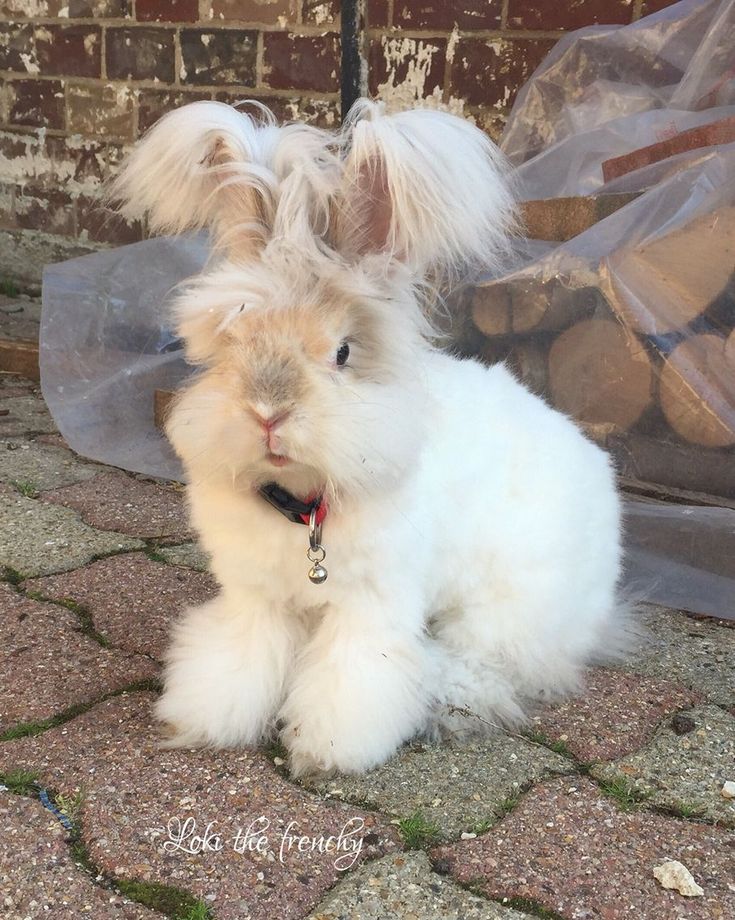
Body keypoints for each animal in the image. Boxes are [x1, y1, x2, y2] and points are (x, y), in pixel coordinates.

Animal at [111, 99, 625, 777]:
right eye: (231, 342)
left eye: (343, 352)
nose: (268, 412)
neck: (305, 507)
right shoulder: (256, 598)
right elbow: (241, 654)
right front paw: (207, 720)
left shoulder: (372, 607)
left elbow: (354, 675)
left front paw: (326, 751)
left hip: (506, 602)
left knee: (498, 659)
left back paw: (447, 698)